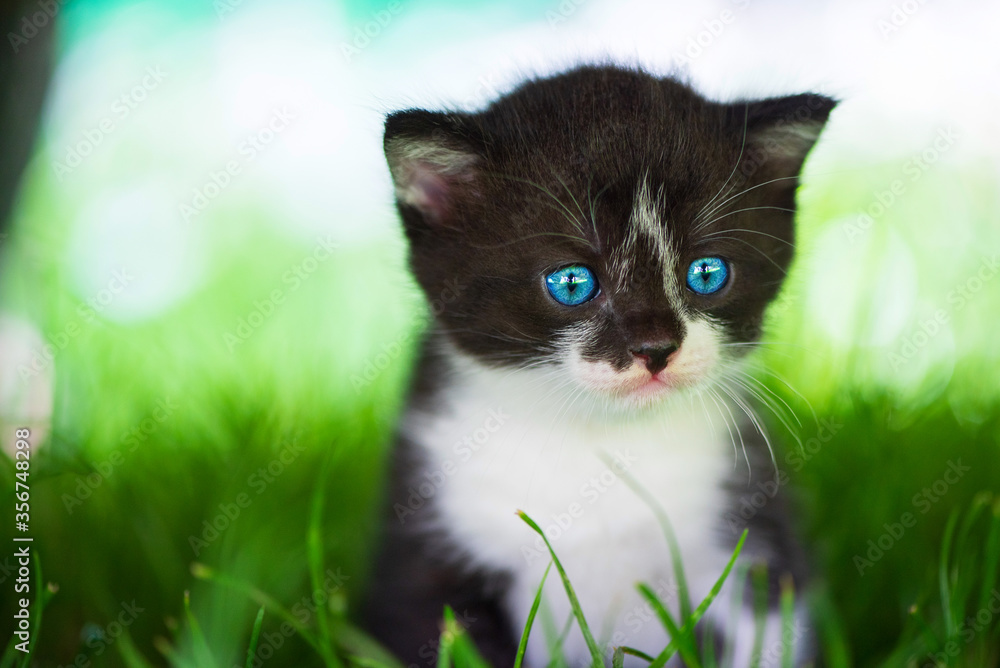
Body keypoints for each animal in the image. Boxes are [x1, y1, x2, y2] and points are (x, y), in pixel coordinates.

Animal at [364, 64, 832, 668]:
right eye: (571, 283)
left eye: (707, 273)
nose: (656, 347)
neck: (594, 442)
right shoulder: (424, 554)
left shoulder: (749, 531)